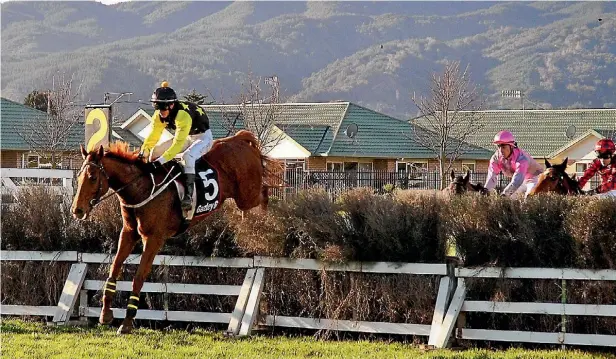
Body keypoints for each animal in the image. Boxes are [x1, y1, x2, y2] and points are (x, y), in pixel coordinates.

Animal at [71, 131, 280, 336]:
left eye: (92, 177)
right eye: (79, 177)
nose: (77, 210)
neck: (142, 189)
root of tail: (239, 139)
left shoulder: (153, 238)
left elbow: (139, 277)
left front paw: (127, 323)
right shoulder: (129, 233)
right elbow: (114, 269)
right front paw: (105, 314)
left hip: (247, 195)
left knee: (265, 193)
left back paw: (266, 220)